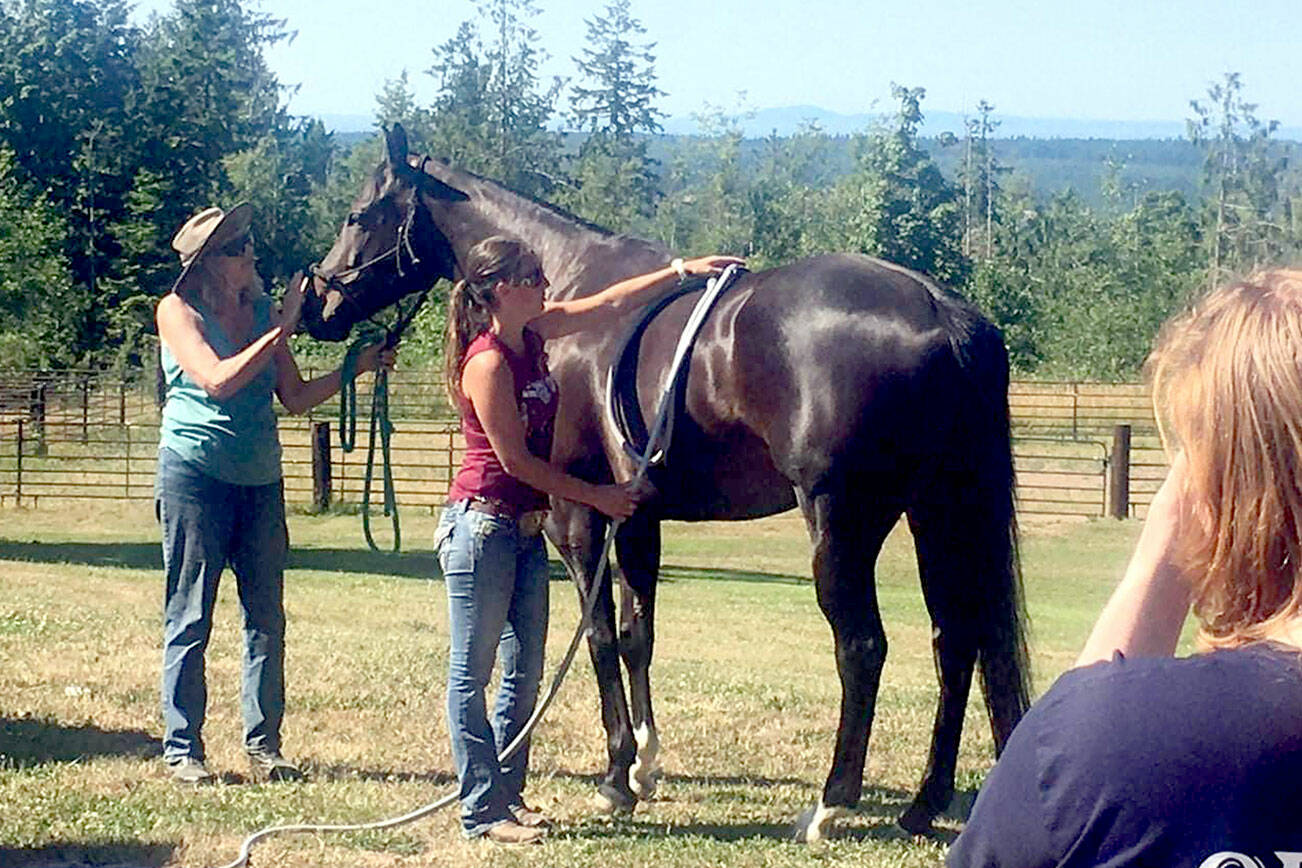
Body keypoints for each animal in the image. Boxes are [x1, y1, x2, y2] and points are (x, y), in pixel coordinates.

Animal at [302, 123, 1030, 840]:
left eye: (359, 214)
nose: (316, 301)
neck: (571, 294)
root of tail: (940, 311)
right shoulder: (639, 515)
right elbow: (637, 634)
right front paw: (645, 766)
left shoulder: (579, 513)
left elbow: (599, 637)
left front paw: (615, 778)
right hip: (939, 512)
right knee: (956, 642)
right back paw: (923, 803)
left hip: (842, 520)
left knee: (863, 647)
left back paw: (831, 803)